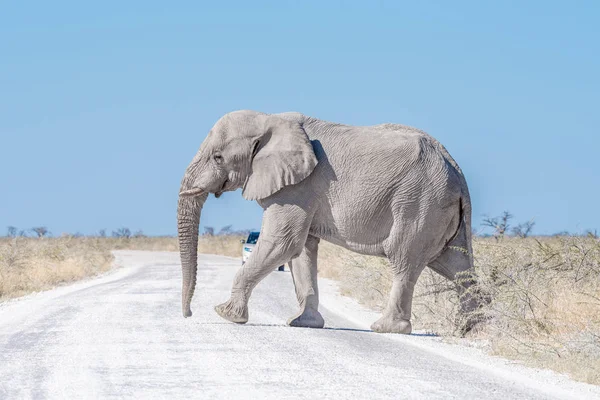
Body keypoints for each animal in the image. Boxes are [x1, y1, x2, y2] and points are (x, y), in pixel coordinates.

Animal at [177, 109, 478, 334]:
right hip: (438, 208)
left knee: (404, 260)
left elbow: (283, 243)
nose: (188, 314)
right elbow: (301, 250)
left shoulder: (299, 186)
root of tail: (457, 170)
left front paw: (225, 314)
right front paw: (302, 323)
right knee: (457, 267)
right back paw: (468, 330)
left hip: (419, 203)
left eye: (218, 157)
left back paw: (387, 328)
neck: (269, 119)